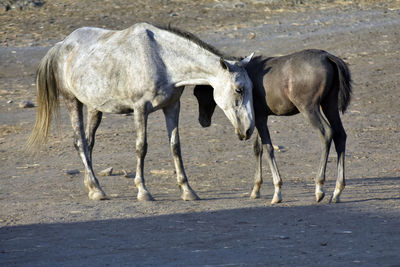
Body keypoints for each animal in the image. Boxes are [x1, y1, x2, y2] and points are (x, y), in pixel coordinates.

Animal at [26, 23, 255, 202]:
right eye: (239, 89)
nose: (248, 130)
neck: (162, 60)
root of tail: (61, 45)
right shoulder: (140, 109)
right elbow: (141, 147)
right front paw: (143, 191)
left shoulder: (173, 107)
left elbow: (175, 147)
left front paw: (187, 190)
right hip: (72, 102)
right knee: (80, 142)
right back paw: (97, 189)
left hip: (94, 108)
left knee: (89, 143)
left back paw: (92, 187)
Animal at [195, 49, 354, 204]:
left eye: (200, 93)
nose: (203, 121)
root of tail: (326, 56)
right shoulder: (260, 118)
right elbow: (258, 148)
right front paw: (256, 189)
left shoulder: (259, 118)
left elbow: (268, 148)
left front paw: (277, 191)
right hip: (329, 105)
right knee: (340, 135)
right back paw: (337, 191)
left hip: (309, 109)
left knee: (326, 133)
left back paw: (319, 187)